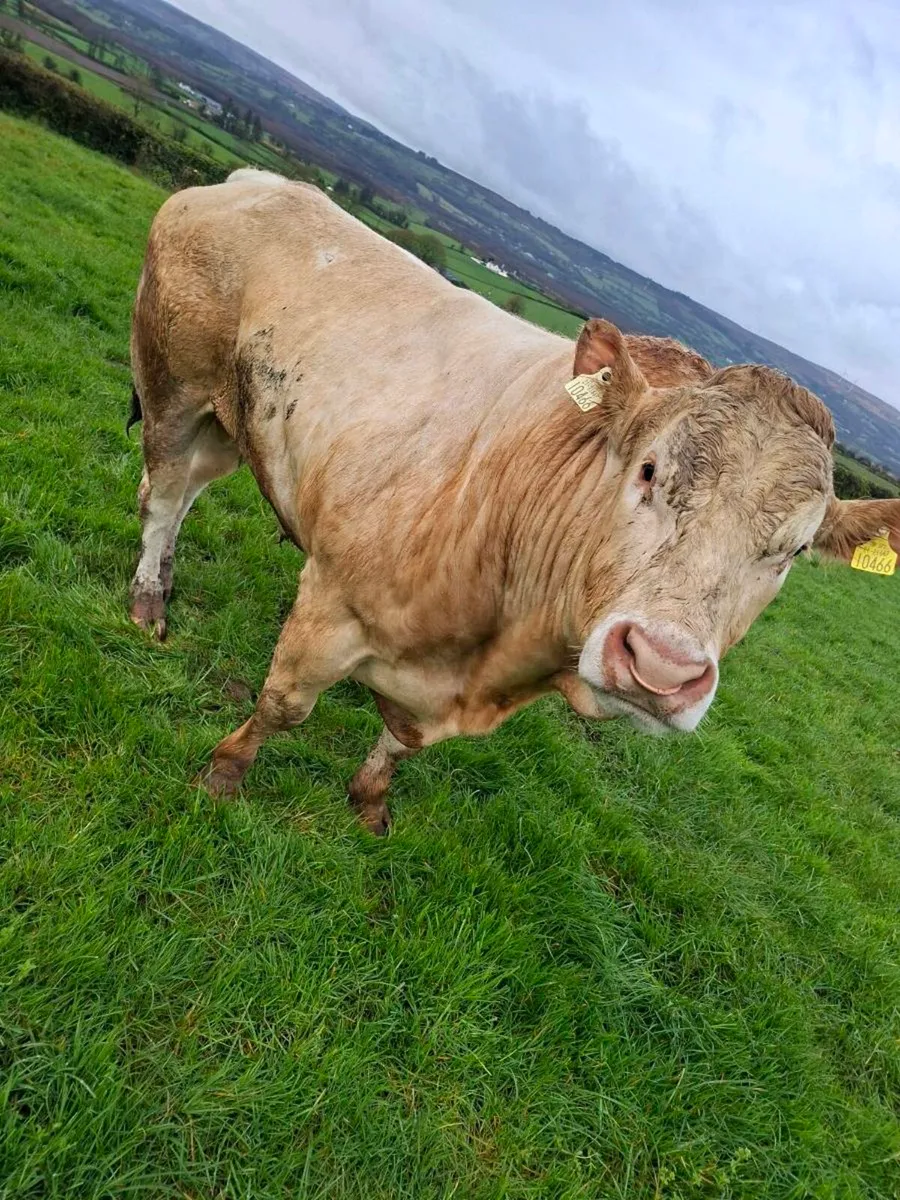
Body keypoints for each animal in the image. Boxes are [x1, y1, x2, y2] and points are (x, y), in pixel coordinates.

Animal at [128, 168, 900, 834]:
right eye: (649, 471)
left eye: (793, 551)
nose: (661, 667)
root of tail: (257, 182)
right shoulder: (331, 599)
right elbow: (285, 704)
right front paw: (224, 776)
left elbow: (402, 741)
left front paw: (370, 801)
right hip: (172, 386)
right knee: (162, 496)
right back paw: (148, 603)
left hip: (233, 421)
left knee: (187, 492)